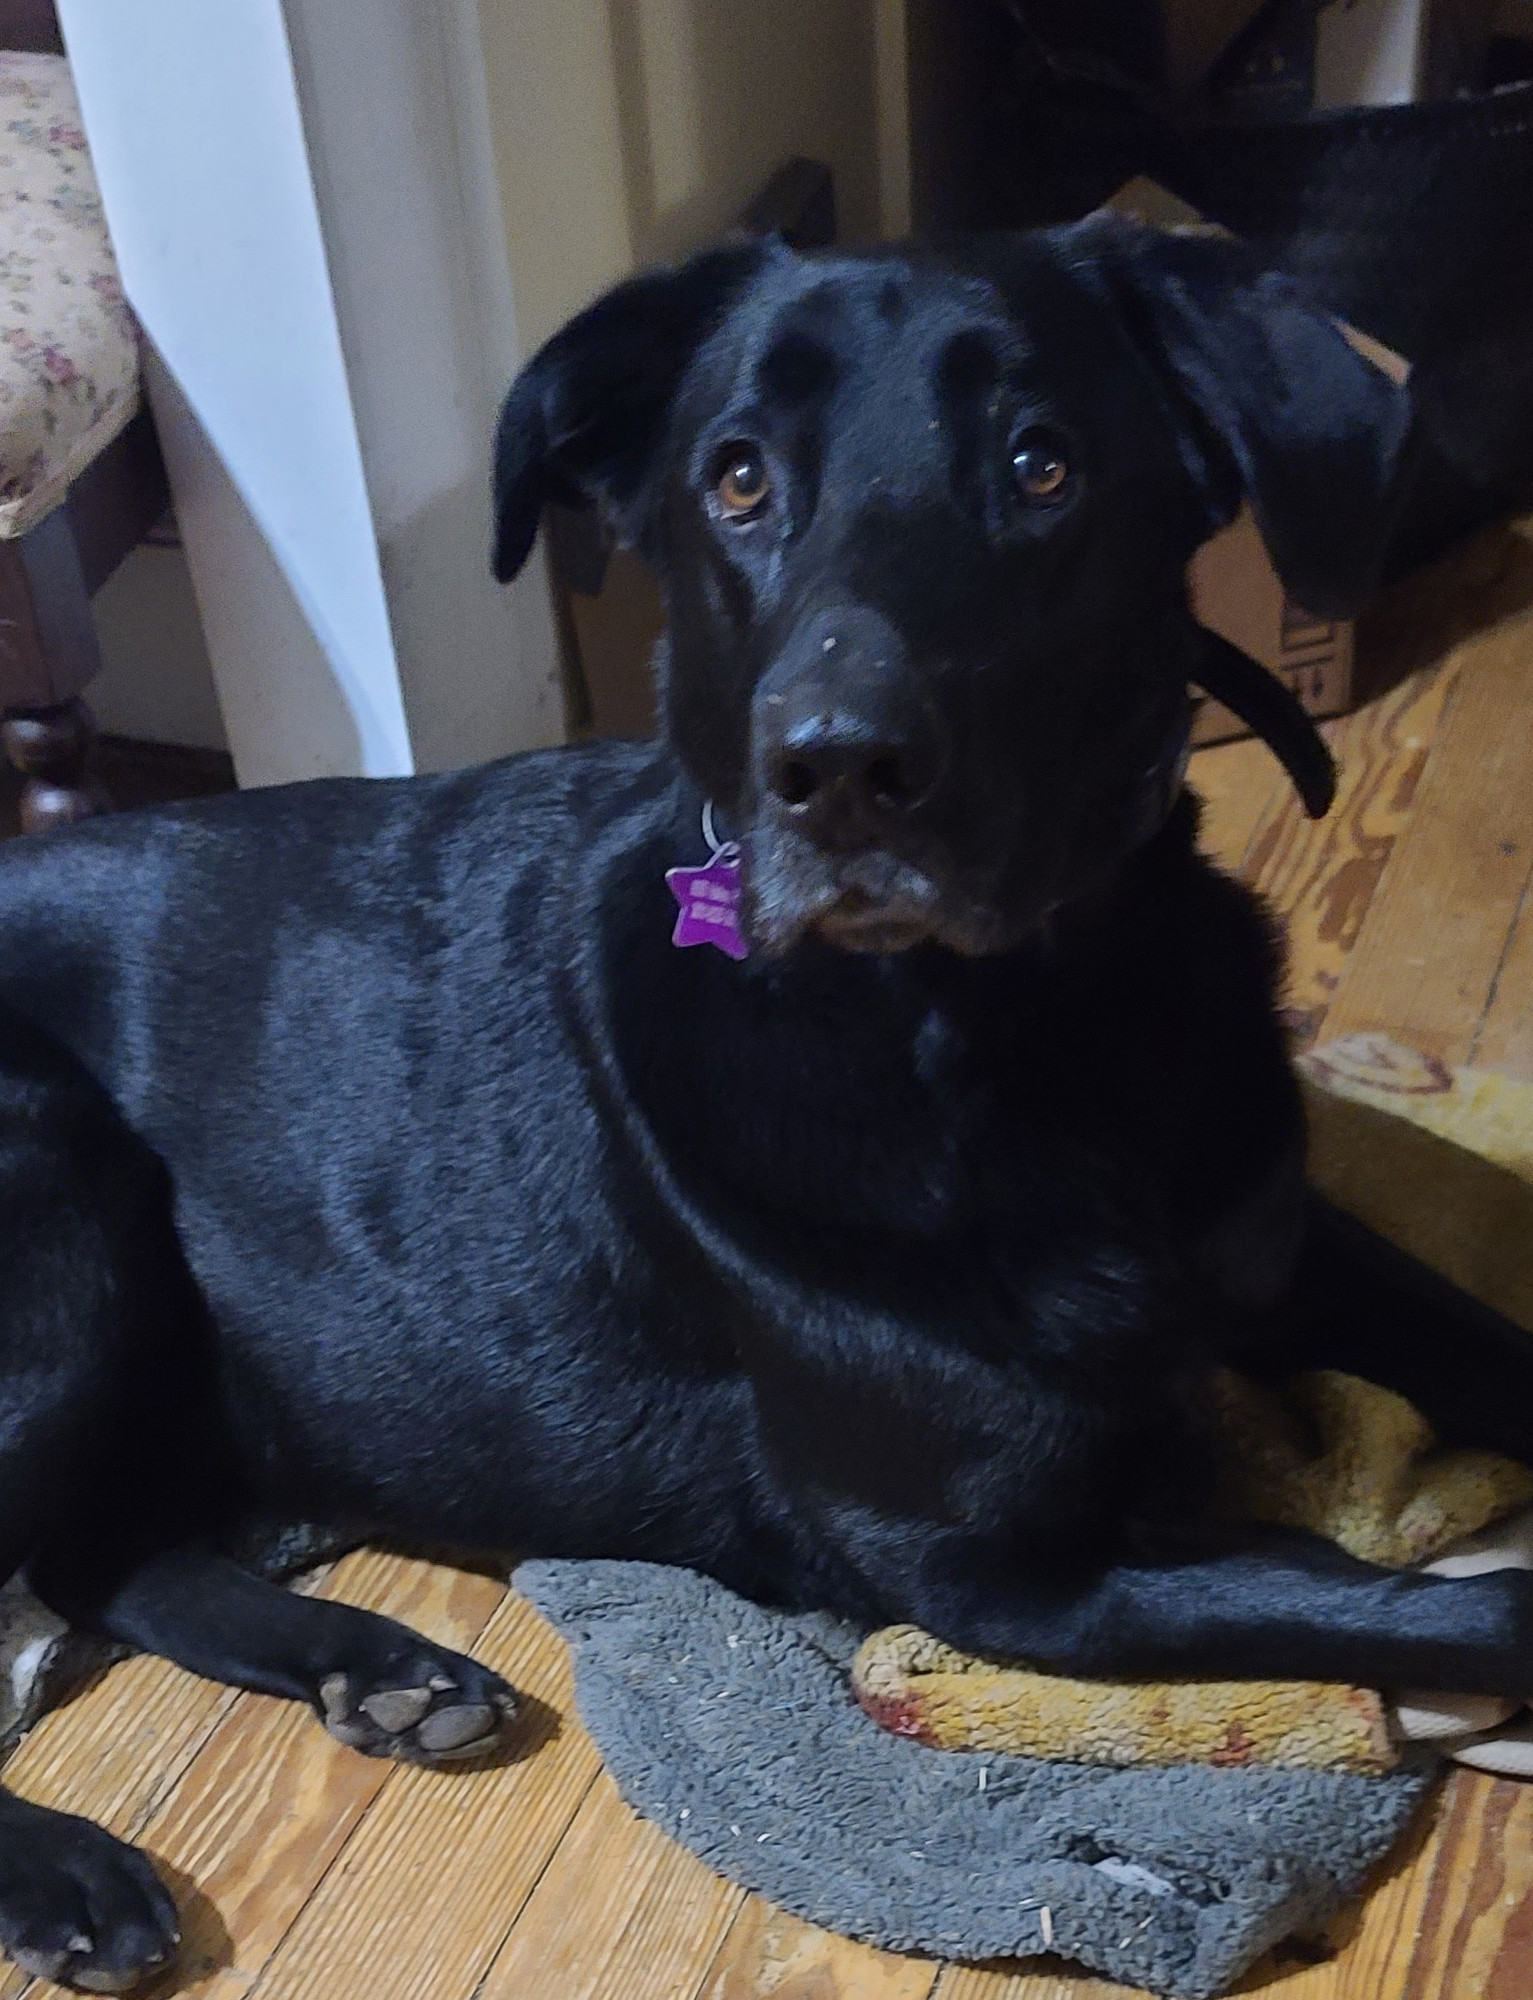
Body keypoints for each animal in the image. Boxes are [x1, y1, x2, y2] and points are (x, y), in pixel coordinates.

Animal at [3, 219, 1533, 1984]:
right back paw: (64, 1872)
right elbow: (1477, 1604)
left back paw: (376, 1670)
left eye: (1043, 463)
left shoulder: (1290, 1253)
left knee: (108, 1560)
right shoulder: (1009, 1578)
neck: (1026, 1035)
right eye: (736, 478)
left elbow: (1492, 1346)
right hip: (61, 1188)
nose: (840, 769)